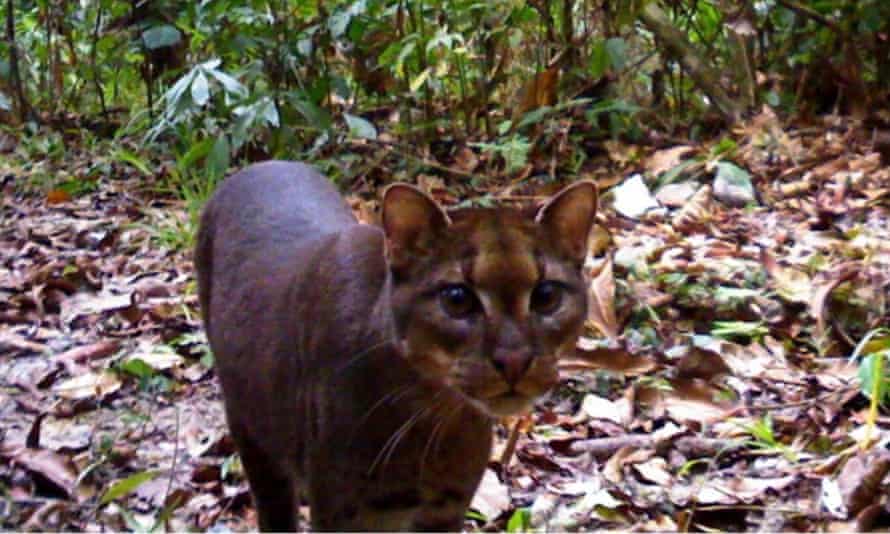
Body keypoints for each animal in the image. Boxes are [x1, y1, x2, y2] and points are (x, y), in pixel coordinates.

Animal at [195, 160, 596, 532]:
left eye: (546, 296)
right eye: (457, 299)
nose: (514, 360)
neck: (435, 415)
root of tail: (261, 165)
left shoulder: (445, 510)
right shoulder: (344, 515)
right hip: (251, 429)